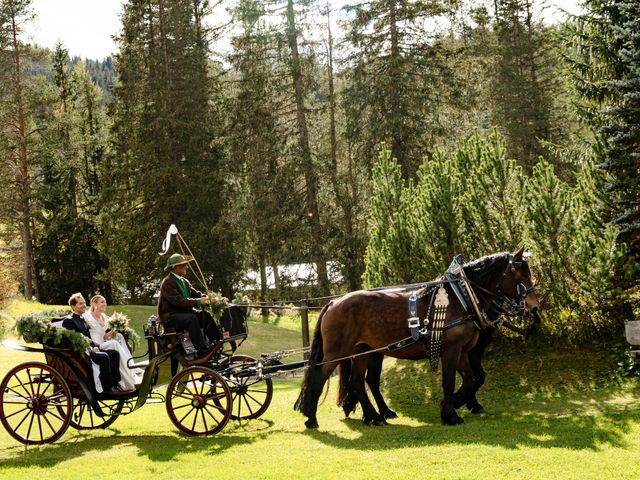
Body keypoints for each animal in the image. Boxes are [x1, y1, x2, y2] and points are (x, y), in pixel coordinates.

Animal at [296, 248, 540, 428]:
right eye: (519, 273)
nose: (534, 304)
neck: (461, 297)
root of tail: (333, 302)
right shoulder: (452, 350)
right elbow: (450, 382)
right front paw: (451, 414)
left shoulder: (463, 352)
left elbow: (472, 379)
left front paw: (455, 405)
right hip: (336, 352)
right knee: (318, 376)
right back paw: (312, 418)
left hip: (362, 352)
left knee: (358, 382)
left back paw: (375, 416)